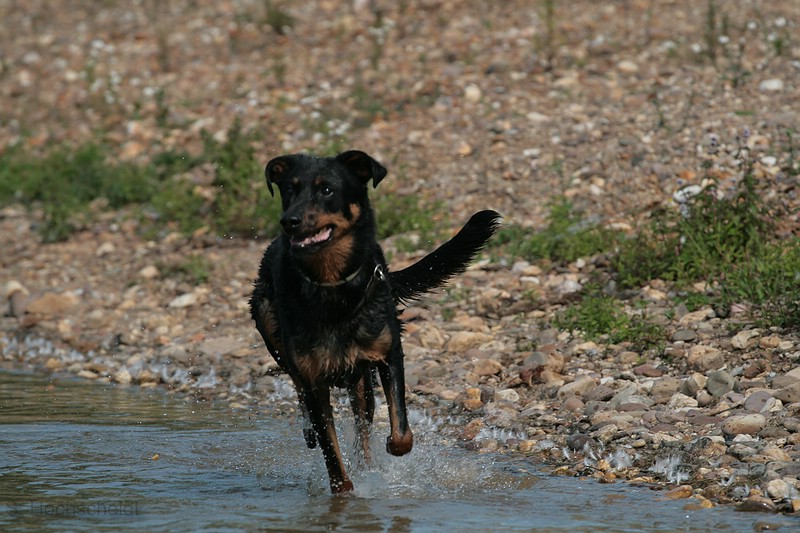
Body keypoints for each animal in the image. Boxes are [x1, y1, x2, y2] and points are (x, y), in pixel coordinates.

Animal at [250, 150, 500, 490]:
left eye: (327, 190)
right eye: (290, 190)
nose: (289, 222)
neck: (332, 286)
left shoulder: (388, 352)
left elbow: (401, 431)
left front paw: (386, 453)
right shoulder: (314, 380)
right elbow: (331, 452)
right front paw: (344, 487)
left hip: (360, 381)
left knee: (363, 422)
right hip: (271, 328)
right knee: (299, 387)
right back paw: (310, 430)